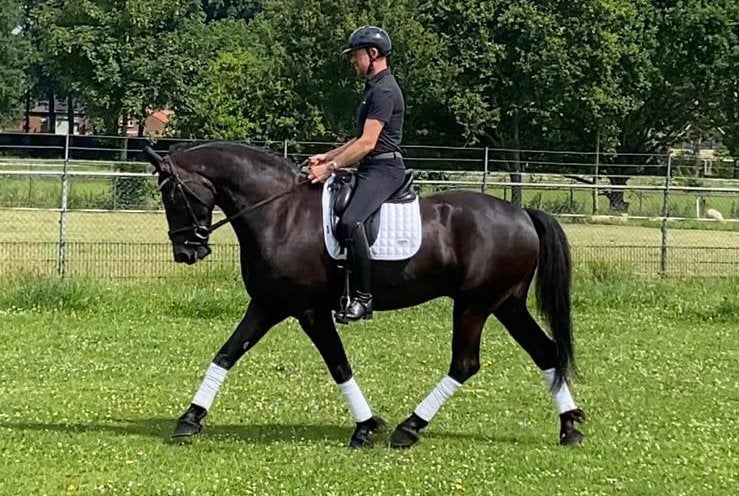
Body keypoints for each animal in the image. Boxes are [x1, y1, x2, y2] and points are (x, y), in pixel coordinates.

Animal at [143, 142, 586, 449]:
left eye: (172, 195)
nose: (186, 252)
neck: (281, 213)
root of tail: (522, 214)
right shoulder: (268, 305)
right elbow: (226, 354)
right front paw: (190, 419)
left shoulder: (308, 310)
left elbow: (338, 364)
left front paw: (365, 428)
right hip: (506, 303)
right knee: (546, 352)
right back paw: (569, 427)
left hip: (475, 305)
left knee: (465, 364)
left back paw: (409, 429)